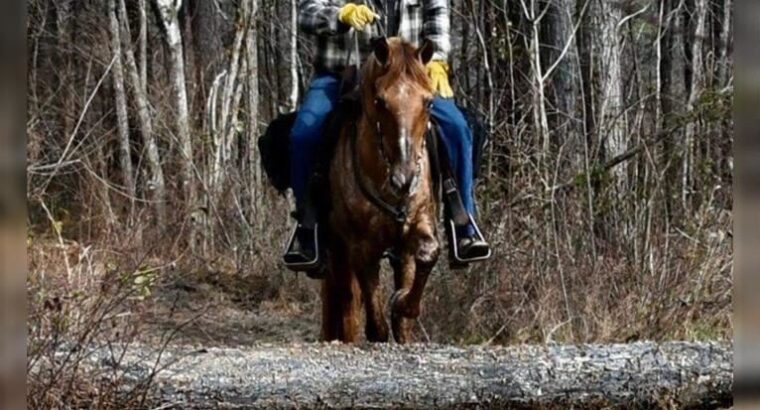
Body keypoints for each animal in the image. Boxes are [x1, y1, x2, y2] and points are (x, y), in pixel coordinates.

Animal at [320, 37, 440, 342]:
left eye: (429, 102)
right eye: (380, 101)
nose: (404, 179)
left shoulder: (416, 225)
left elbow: (428, 254)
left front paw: (403, 304)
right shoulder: (360, 245)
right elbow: (376, 325)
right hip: (337, 248)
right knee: (344, 300)